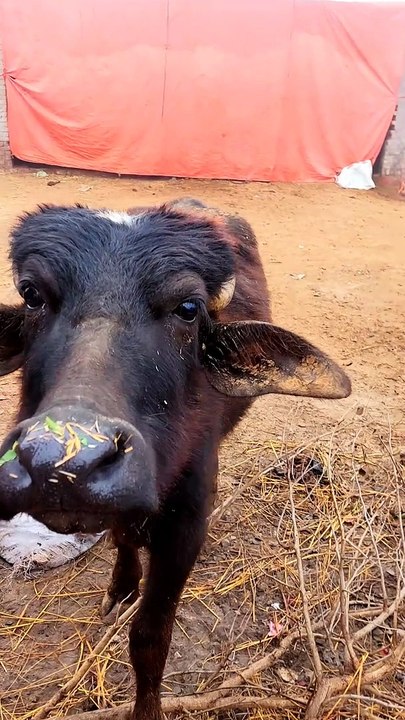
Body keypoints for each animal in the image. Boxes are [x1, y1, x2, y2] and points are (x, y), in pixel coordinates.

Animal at [0, 198, 351, 720]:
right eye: (32, 295)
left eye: (187, 309)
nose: (63, 467)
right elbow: (123, 539)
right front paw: (122, 587)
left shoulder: (185, 530)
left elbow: (150, 640)